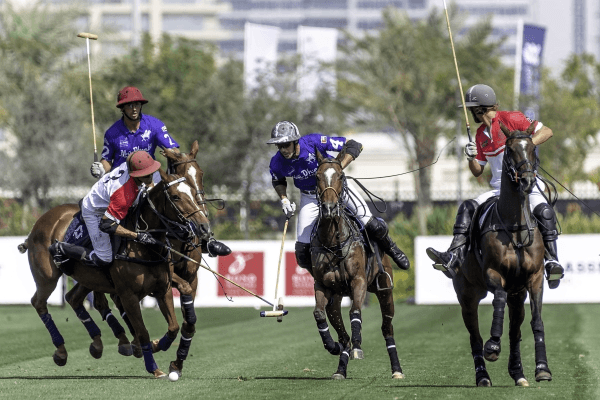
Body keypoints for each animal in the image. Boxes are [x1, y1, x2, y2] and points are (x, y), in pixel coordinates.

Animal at [22, 170, 210, 378]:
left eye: (194, 191)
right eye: (176, 197)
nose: (203, 227)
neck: (148, 247)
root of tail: (40, 222)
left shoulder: (164, 289)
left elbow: (174, 327)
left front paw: (158, 347)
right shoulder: (128, 295)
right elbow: (142, 331)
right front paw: (153, 367)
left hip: (89, 278)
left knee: (72, 298)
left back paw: (97, 344)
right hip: (47, 277)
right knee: (39, 303)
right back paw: (62, 350)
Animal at [310, 151, 404, 382]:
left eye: (341, 176)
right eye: (317, 176)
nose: (329, 208)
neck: (333, 242)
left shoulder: (358, 281)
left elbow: (355, 312)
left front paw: (358, 346)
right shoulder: (322, 286)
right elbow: (318, 314)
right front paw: (332, 346)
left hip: (385, 291)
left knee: (387, 328)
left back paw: (397, 369)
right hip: (335, 299)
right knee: (342, 332)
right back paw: (340, 368)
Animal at [452, 122, 552, 388]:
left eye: (532, 149)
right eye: (510, 150)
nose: (527, 181)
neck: (514, 226)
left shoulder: (534, 278)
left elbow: (537, 321)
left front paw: (542, 369)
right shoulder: (493, 272)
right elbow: (497, 299)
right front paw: (493, 345)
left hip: (517, 295)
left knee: (515, 332)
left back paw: (518, 373)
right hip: (466, 296)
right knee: (474, 336)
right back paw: (483, 376)